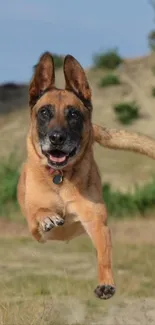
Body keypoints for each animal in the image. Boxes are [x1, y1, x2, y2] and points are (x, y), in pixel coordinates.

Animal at [17, 51, 155, 298]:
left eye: (73, 114)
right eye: (44, 112)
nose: (57, 138)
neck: (60, 177)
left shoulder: (97, 222)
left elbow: (104, 256)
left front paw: (106, 283)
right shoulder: (33, 227)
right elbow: (39, 212)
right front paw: (48, 217)